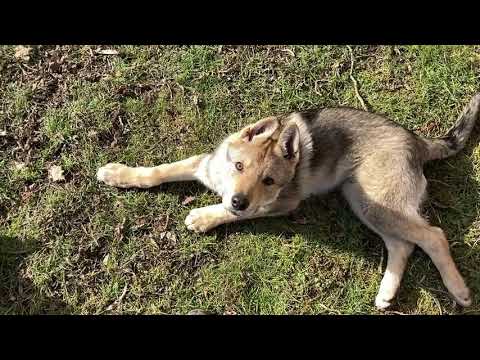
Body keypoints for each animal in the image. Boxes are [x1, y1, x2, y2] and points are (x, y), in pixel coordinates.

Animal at [97, 93, 480, 310]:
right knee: (403, 244)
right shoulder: (204, 165)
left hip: (377, 203)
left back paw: (458, 290)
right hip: (364, 202)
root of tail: (418, 141)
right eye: (239, 166)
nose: (238, 199)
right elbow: (159, 170)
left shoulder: (279, 204)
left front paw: (205, 217)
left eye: (269, 181)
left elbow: (235, 214)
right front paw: (118, 174)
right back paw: (386, 293)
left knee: (433, 236)